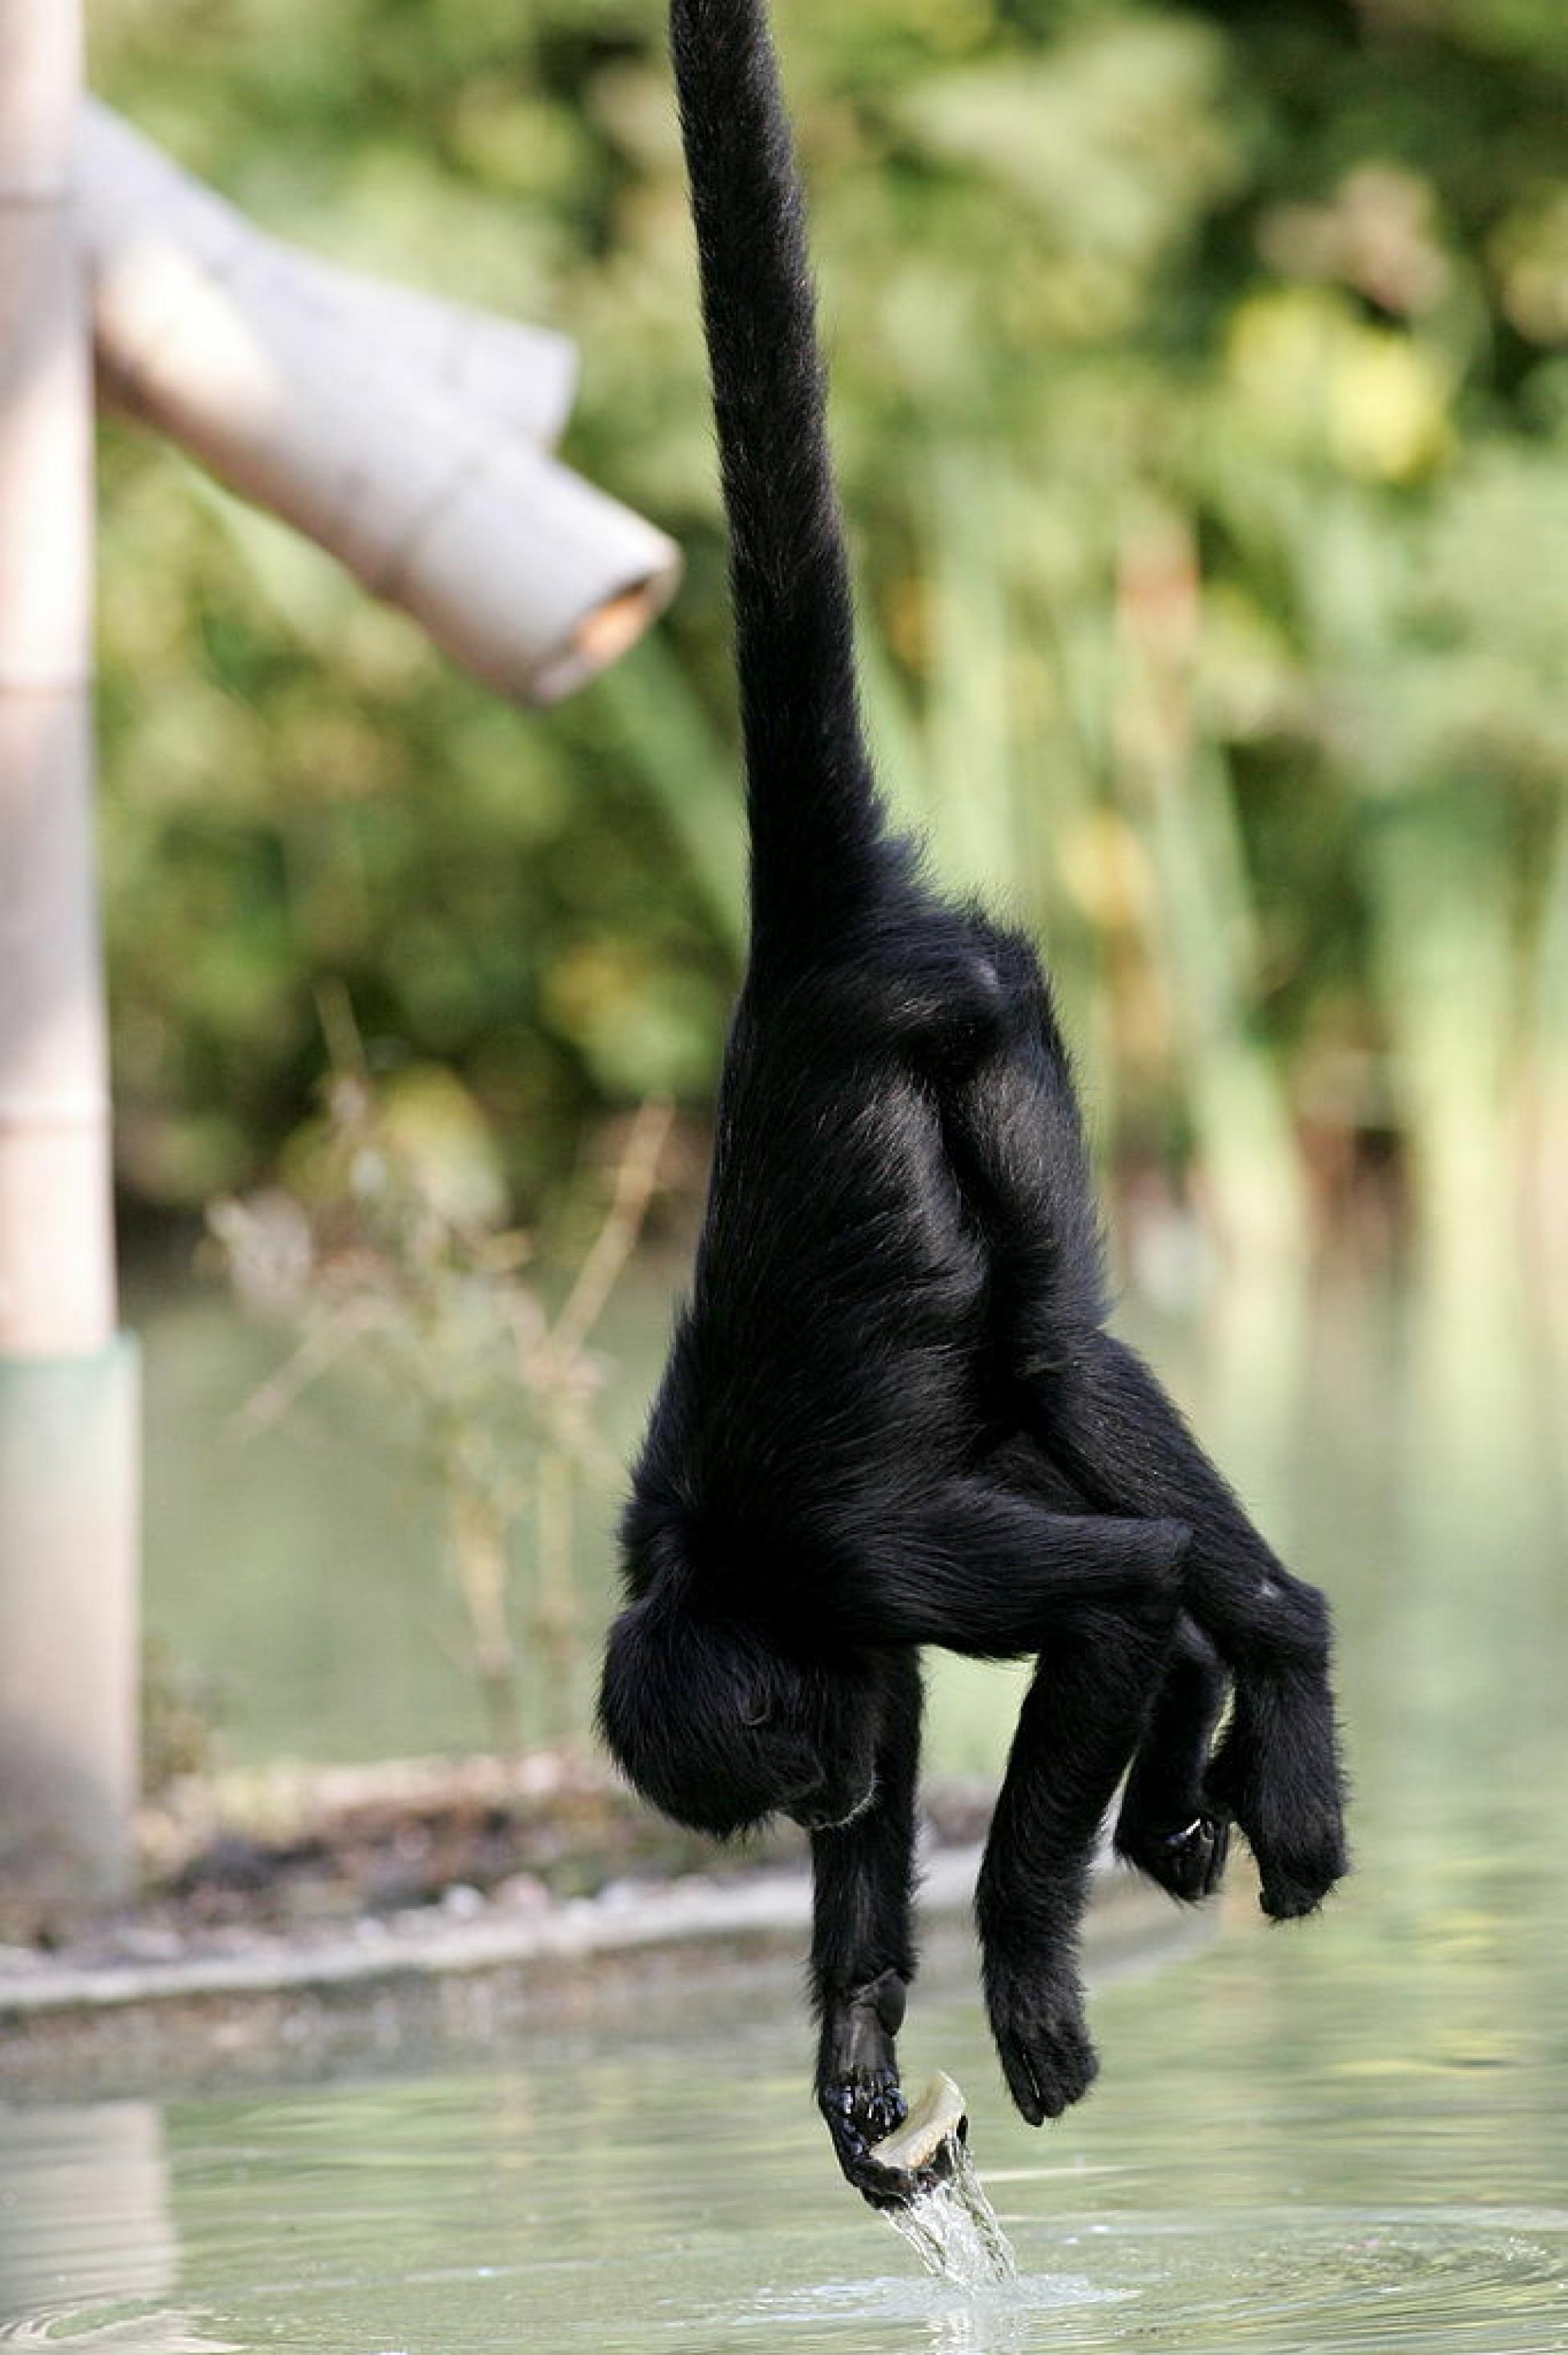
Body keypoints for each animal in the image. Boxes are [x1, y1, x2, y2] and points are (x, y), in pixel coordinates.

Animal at [597, 0, 1346, 2204]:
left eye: (771, 1763)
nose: (822, 1788)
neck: (729, 1563)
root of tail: (801, 955)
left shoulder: (859, 1563)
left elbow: (1101, 1604)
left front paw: (1013, 1970)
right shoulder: (851, 1623)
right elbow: (959, 1696)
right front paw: (855, 2055)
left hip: (984, 1025)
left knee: (1059, 1360)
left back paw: (1271, 1669)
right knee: (1034, 1389)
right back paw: (1199, 1754)